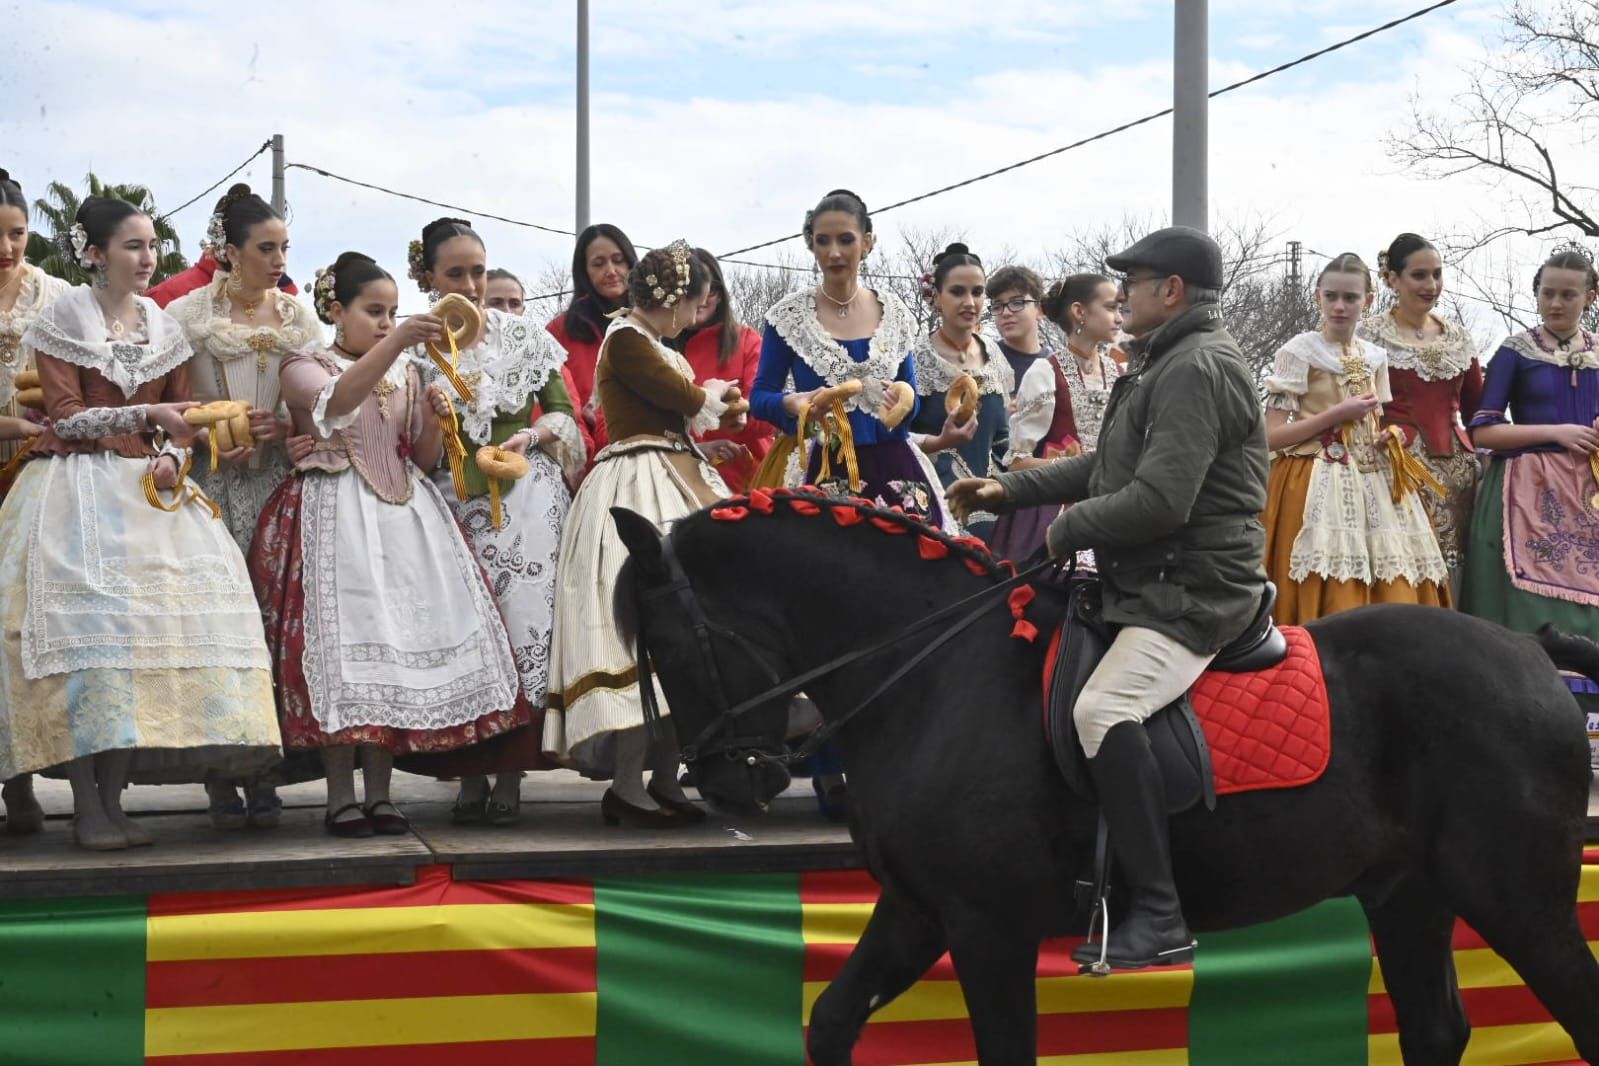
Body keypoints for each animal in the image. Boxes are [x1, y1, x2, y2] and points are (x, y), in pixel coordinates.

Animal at [610, 501, 1599, 1066]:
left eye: (667, 642)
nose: (728, 786)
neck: (935, 671)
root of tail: (1528, 650)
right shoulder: (917, 909)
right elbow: (829, 1022)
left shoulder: (986, 926)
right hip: (1408, 894)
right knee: (1435, 1033)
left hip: (1515, 895)